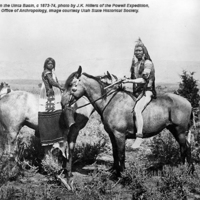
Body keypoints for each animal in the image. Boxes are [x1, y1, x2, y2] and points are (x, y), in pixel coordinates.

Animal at [61, 66, 195, 177]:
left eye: (71, 84)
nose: (62, 103)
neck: (109, 101)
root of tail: (188, 102)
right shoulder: (112, 135)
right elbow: (115, 153)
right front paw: (115, 171)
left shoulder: (119, 135)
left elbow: (121, 154)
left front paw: (122, 174)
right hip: (174, 129)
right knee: (184, 147)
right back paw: (184, 168)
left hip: (180, 131)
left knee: (186, 148)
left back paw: (188, 170)